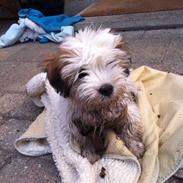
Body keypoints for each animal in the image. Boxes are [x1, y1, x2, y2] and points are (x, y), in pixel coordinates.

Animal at [44, 28, 144, 163]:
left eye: (111, 63)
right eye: (81, 74)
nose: (106, 88)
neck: (100, 107)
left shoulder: (127, 110)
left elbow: (129, 128)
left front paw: (134, 147)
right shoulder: (77, 123)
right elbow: (85, 140)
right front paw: (90, 154)